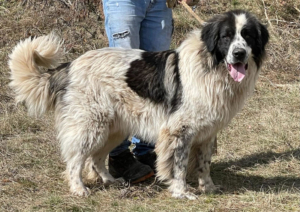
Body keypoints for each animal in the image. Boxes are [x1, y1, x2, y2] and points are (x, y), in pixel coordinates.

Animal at [9, 9, 268, 199]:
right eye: (226, 37)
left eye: (247, 36)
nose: (239, 54)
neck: (211, 66)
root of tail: (70, 65)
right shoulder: (179, 132)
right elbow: (179, 166)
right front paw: (181, 193)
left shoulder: (207, 132)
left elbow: (204, 163)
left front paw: (209, 188)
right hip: (90, 125)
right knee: (75, 160)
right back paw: (79, 189)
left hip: (113, 128)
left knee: (96, 158)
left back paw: (110, 181)